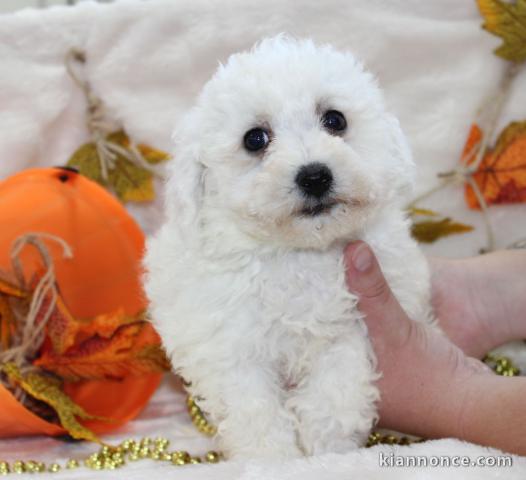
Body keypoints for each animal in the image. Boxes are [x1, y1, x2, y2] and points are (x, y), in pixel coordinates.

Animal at [143, 35, 434, 460]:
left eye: (335, 120)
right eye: (255, 139)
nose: (314, 176)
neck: (299, 255)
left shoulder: (360, 323)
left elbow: (338, 382)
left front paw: (327, 448)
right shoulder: (229, 343)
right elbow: (253, 406)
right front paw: (274, 458)